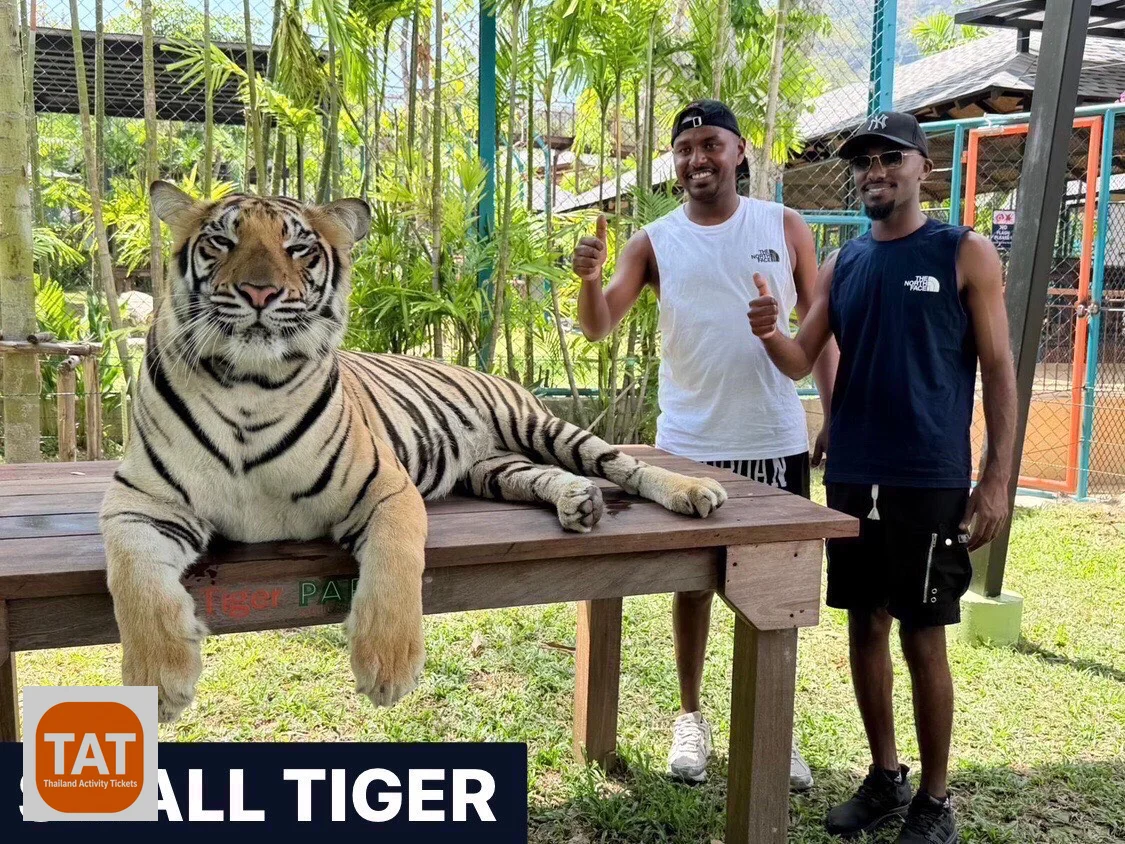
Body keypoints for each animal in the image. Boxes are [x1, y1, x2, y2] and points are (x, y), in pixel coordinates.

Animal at [99, 181, 728, 723]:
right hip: (493, 469)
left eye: (298, 247)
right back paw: (581, 503)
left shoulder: (385, 486)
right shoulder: (141, 502)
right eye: (221, 242)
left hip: (540, 425)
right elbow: (134, 583)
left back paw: (694, 490)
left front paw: (389, 664)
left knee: (621, 461)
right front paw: (157, 682)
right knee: (540, 477)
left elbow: (396, 564)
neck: (250, 388)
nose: (260, 292)